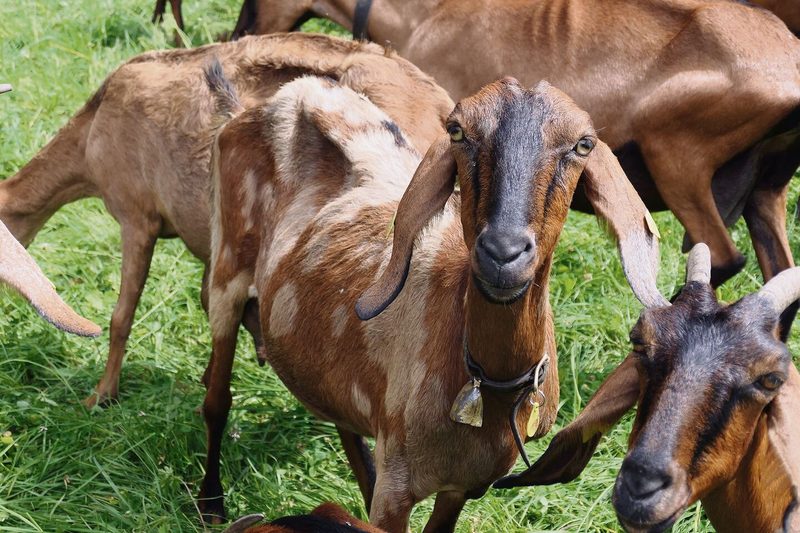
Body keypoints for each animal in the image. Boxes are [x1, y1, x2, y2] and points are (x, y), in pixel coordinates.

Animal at [0, 33, 453, 407]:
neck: (95, 125)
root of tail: (441, 105)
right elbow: (209, 299)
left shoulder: (137, 218)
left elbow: (121, 316)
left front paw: (101, 396)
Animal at [199, 72, 665, 530]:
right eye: (456, 130)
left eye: (583, 144)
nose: (502, 252)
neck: (488, 385)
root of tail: (271, 99)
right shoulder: (397, 485)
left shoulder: (463, 485)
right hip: (227, 268)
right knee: (217, 396)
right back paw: (210, 503)